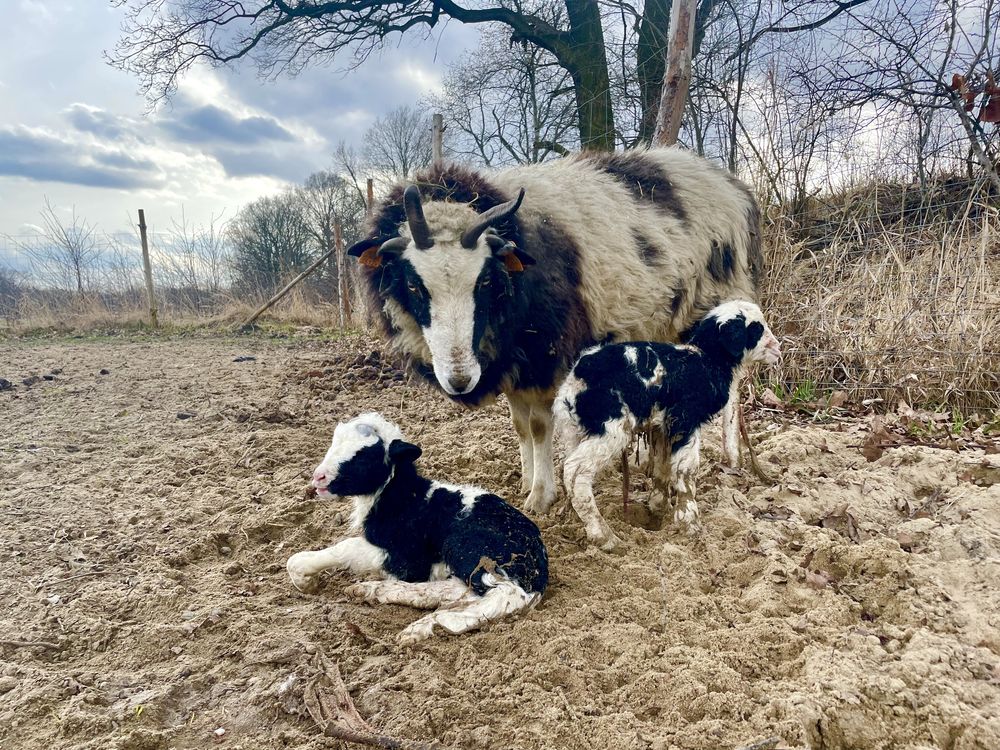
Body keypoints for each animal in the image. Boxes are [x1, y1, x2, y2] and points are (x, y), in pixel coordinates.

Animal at [286, 414, 552, 644]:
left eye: (364, 456)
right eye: (333, 442)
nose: (318, 477)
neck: (404, 497)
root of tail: (537, 571)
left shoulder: (407, 559)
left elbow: (345, 547)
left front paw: (303, 578)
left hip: (470, 547)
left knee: (504, 595)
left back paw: (433, 624)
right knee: (460, 589)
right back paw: (374, 592)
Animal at [348, 150, 760, 520]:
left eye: (484, 281)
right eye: (413, 286)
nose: (460, 380)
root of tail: (734, 185)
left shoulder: (546, 360)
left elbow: (538, 427)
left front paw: (541, 496)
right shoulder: (514, 365)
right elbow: (520, 428)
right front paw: (526, 481)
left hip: (718, 305)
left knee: (732, 387)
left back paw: (732, 456)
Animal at [556, 300, 780, 552]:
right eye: (756, 329)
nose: (778, 348)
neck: (707, 361)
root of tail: (578, 377)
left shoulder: (662, 426)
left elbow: (663, 464)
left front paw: (658, 505)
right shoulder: (684, 419)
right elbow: (687, 468)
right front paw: (689, 522)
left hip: (575, 430)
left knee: (568, 469)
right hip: (609, 428)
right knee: (575, 471)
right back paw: (604, 536)